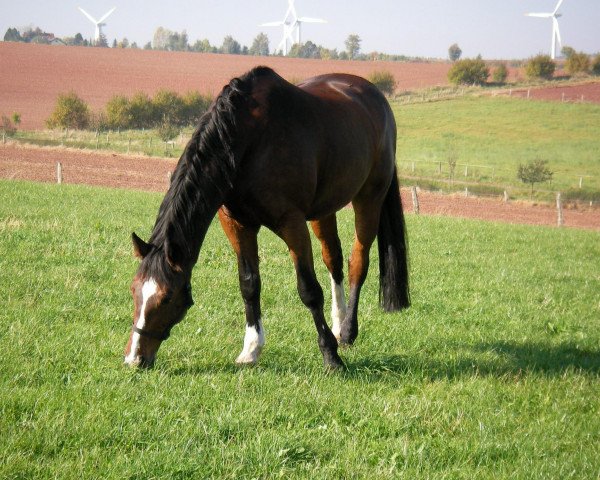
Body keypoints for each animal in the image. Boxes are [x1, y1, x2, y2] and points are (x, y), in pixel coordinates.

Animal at [124, 65, 410, 370]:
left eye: (166, 298)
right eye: (134, 290)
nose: (134, 358)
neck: (247, 139)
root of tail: (374, 95)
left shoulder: (292, 223)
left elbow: (309, 290)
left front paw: (330, 356)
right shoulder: (238, 224)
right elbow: (249, 284)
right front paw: (251, 349)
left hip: (369, 198)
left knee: (358, 261)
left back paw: (347, 332)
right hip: (323, 209)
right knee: (333, 259)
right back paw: (338, 323)